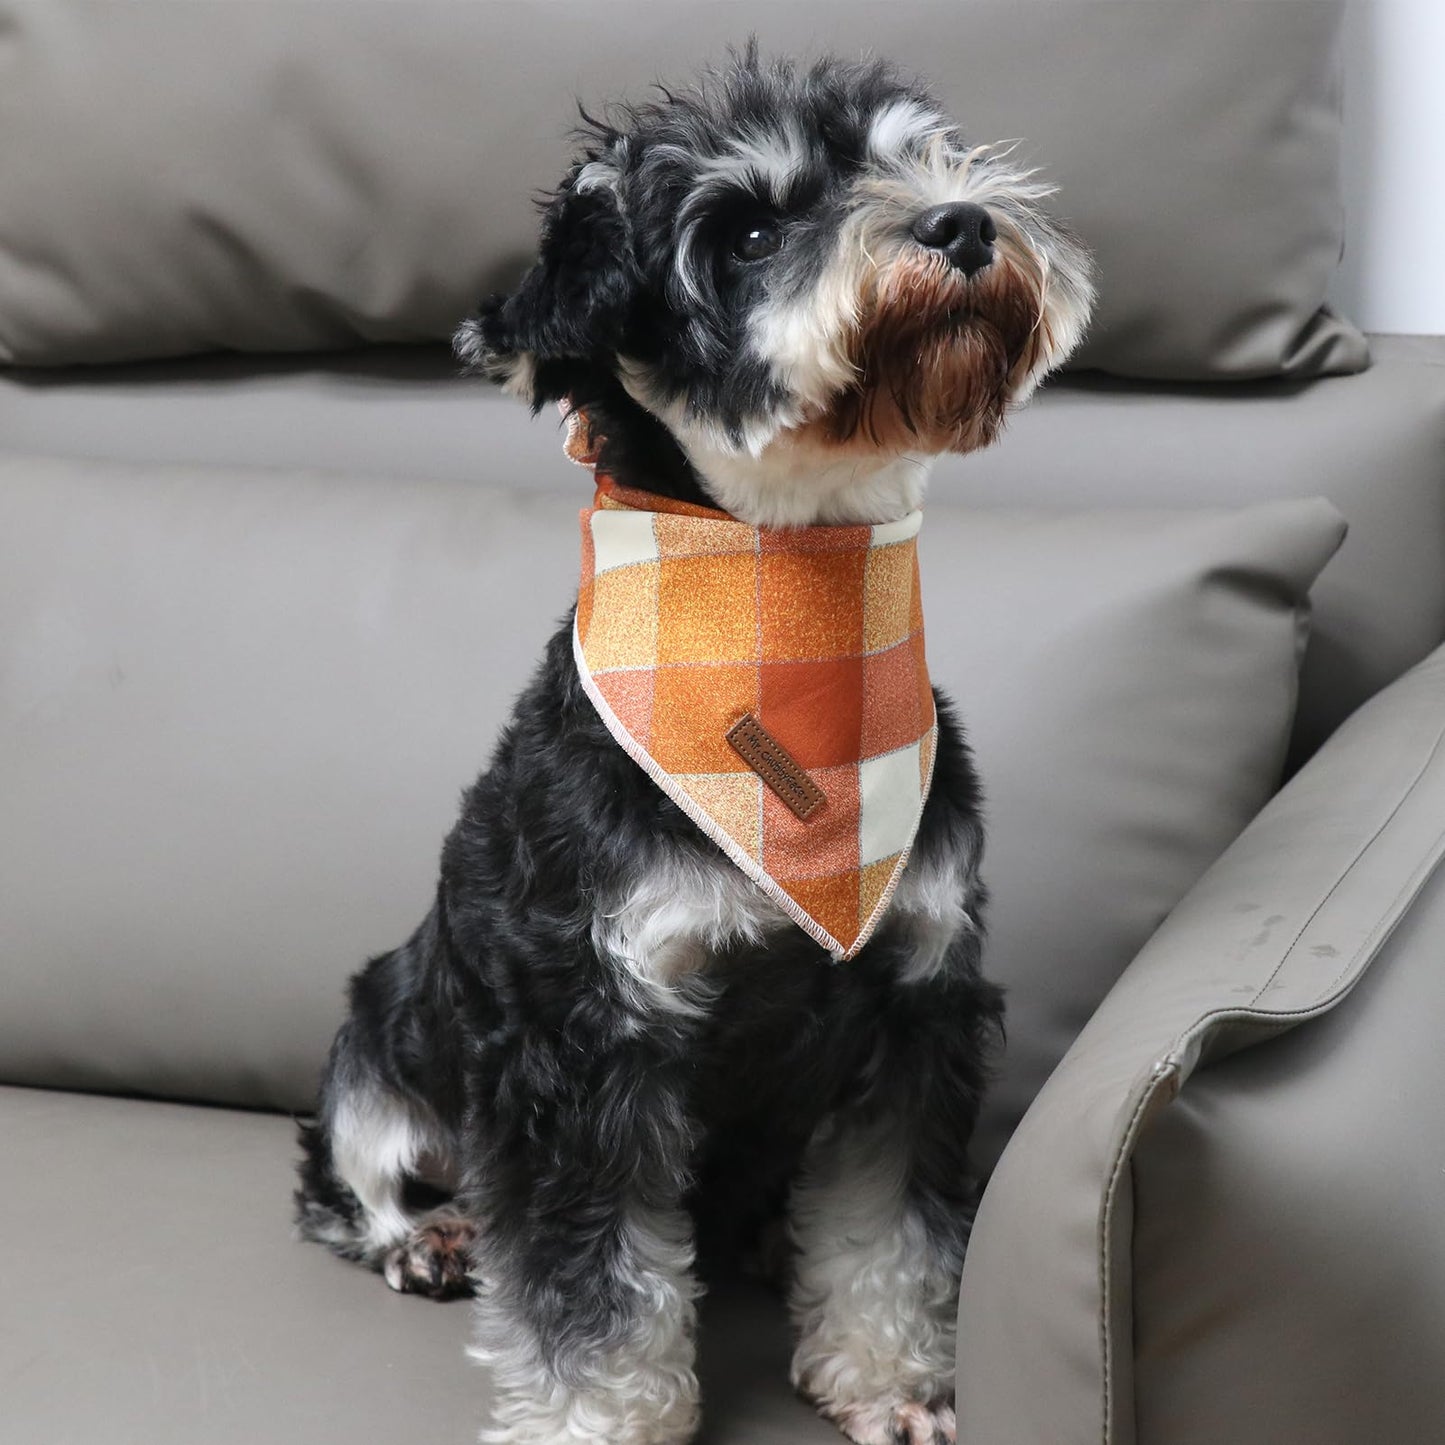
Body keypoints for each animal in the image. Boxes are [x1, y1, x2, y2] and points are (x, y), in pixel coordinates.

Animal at [296, 45, 1092, 1445]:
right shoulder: (580, 1038)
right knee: (356, 1174)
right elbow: (589, 1280)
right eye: (750, 233)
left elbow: (887, 1230)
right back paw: (425, 1235)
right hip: (382, 1030)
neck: (785, 623)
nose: (960, 225)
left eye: (920, 156)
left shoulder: (912, 1010)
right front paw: (595, 1418)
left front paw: (892, 1377)